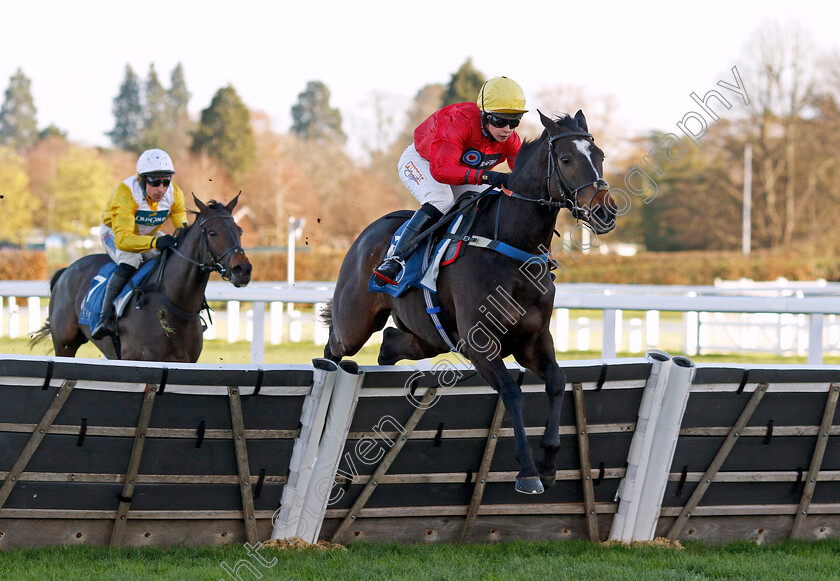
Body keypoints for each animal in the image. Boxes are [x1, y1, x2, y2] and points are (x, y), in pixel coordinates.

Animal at [33, 194, 249, 362]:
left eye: (239, 230)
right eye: (212, 233)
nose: (243, 269)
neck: (175, 305)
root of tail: (66, 270)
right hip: (65, 344)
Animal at [324, 110, 612, 494]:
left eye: (600, 156)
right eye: (566, 159)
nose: (606, 212)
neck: (512, 248)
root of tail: (367, 234)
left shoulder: (533, 340)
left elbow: (556, 380)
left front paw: (549, 463)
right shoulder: (480, 343)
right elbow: (512, 392)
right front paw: (528, 471)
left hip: (427, 337)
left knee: (389, 344)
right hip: (353, 324)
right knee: (333, 347)